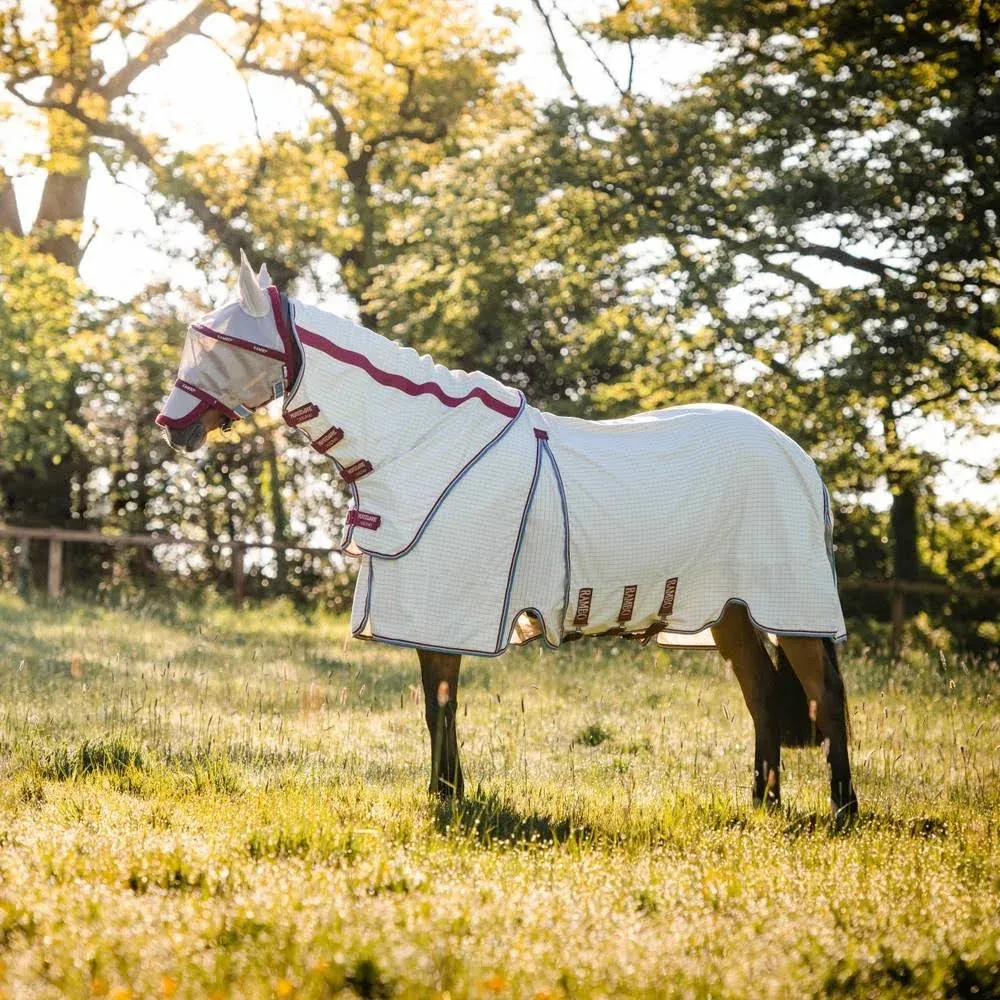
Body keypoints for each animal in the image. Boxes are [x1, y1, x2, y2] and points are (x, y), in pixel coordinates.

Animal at [156, 252, 860, 828]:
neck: (420, 445)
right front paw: (447, 792)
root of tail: (797, 458)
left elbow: (441, 701)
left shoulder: (446, 609)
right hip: (731, 612)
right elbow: (436, 701)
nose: (170, 425)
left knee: (825, 698)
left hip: (791, 606)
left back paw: (841, 813)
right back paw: (763, 805)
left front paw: (446, 798)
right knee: (762, 695)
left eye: (221, 346)